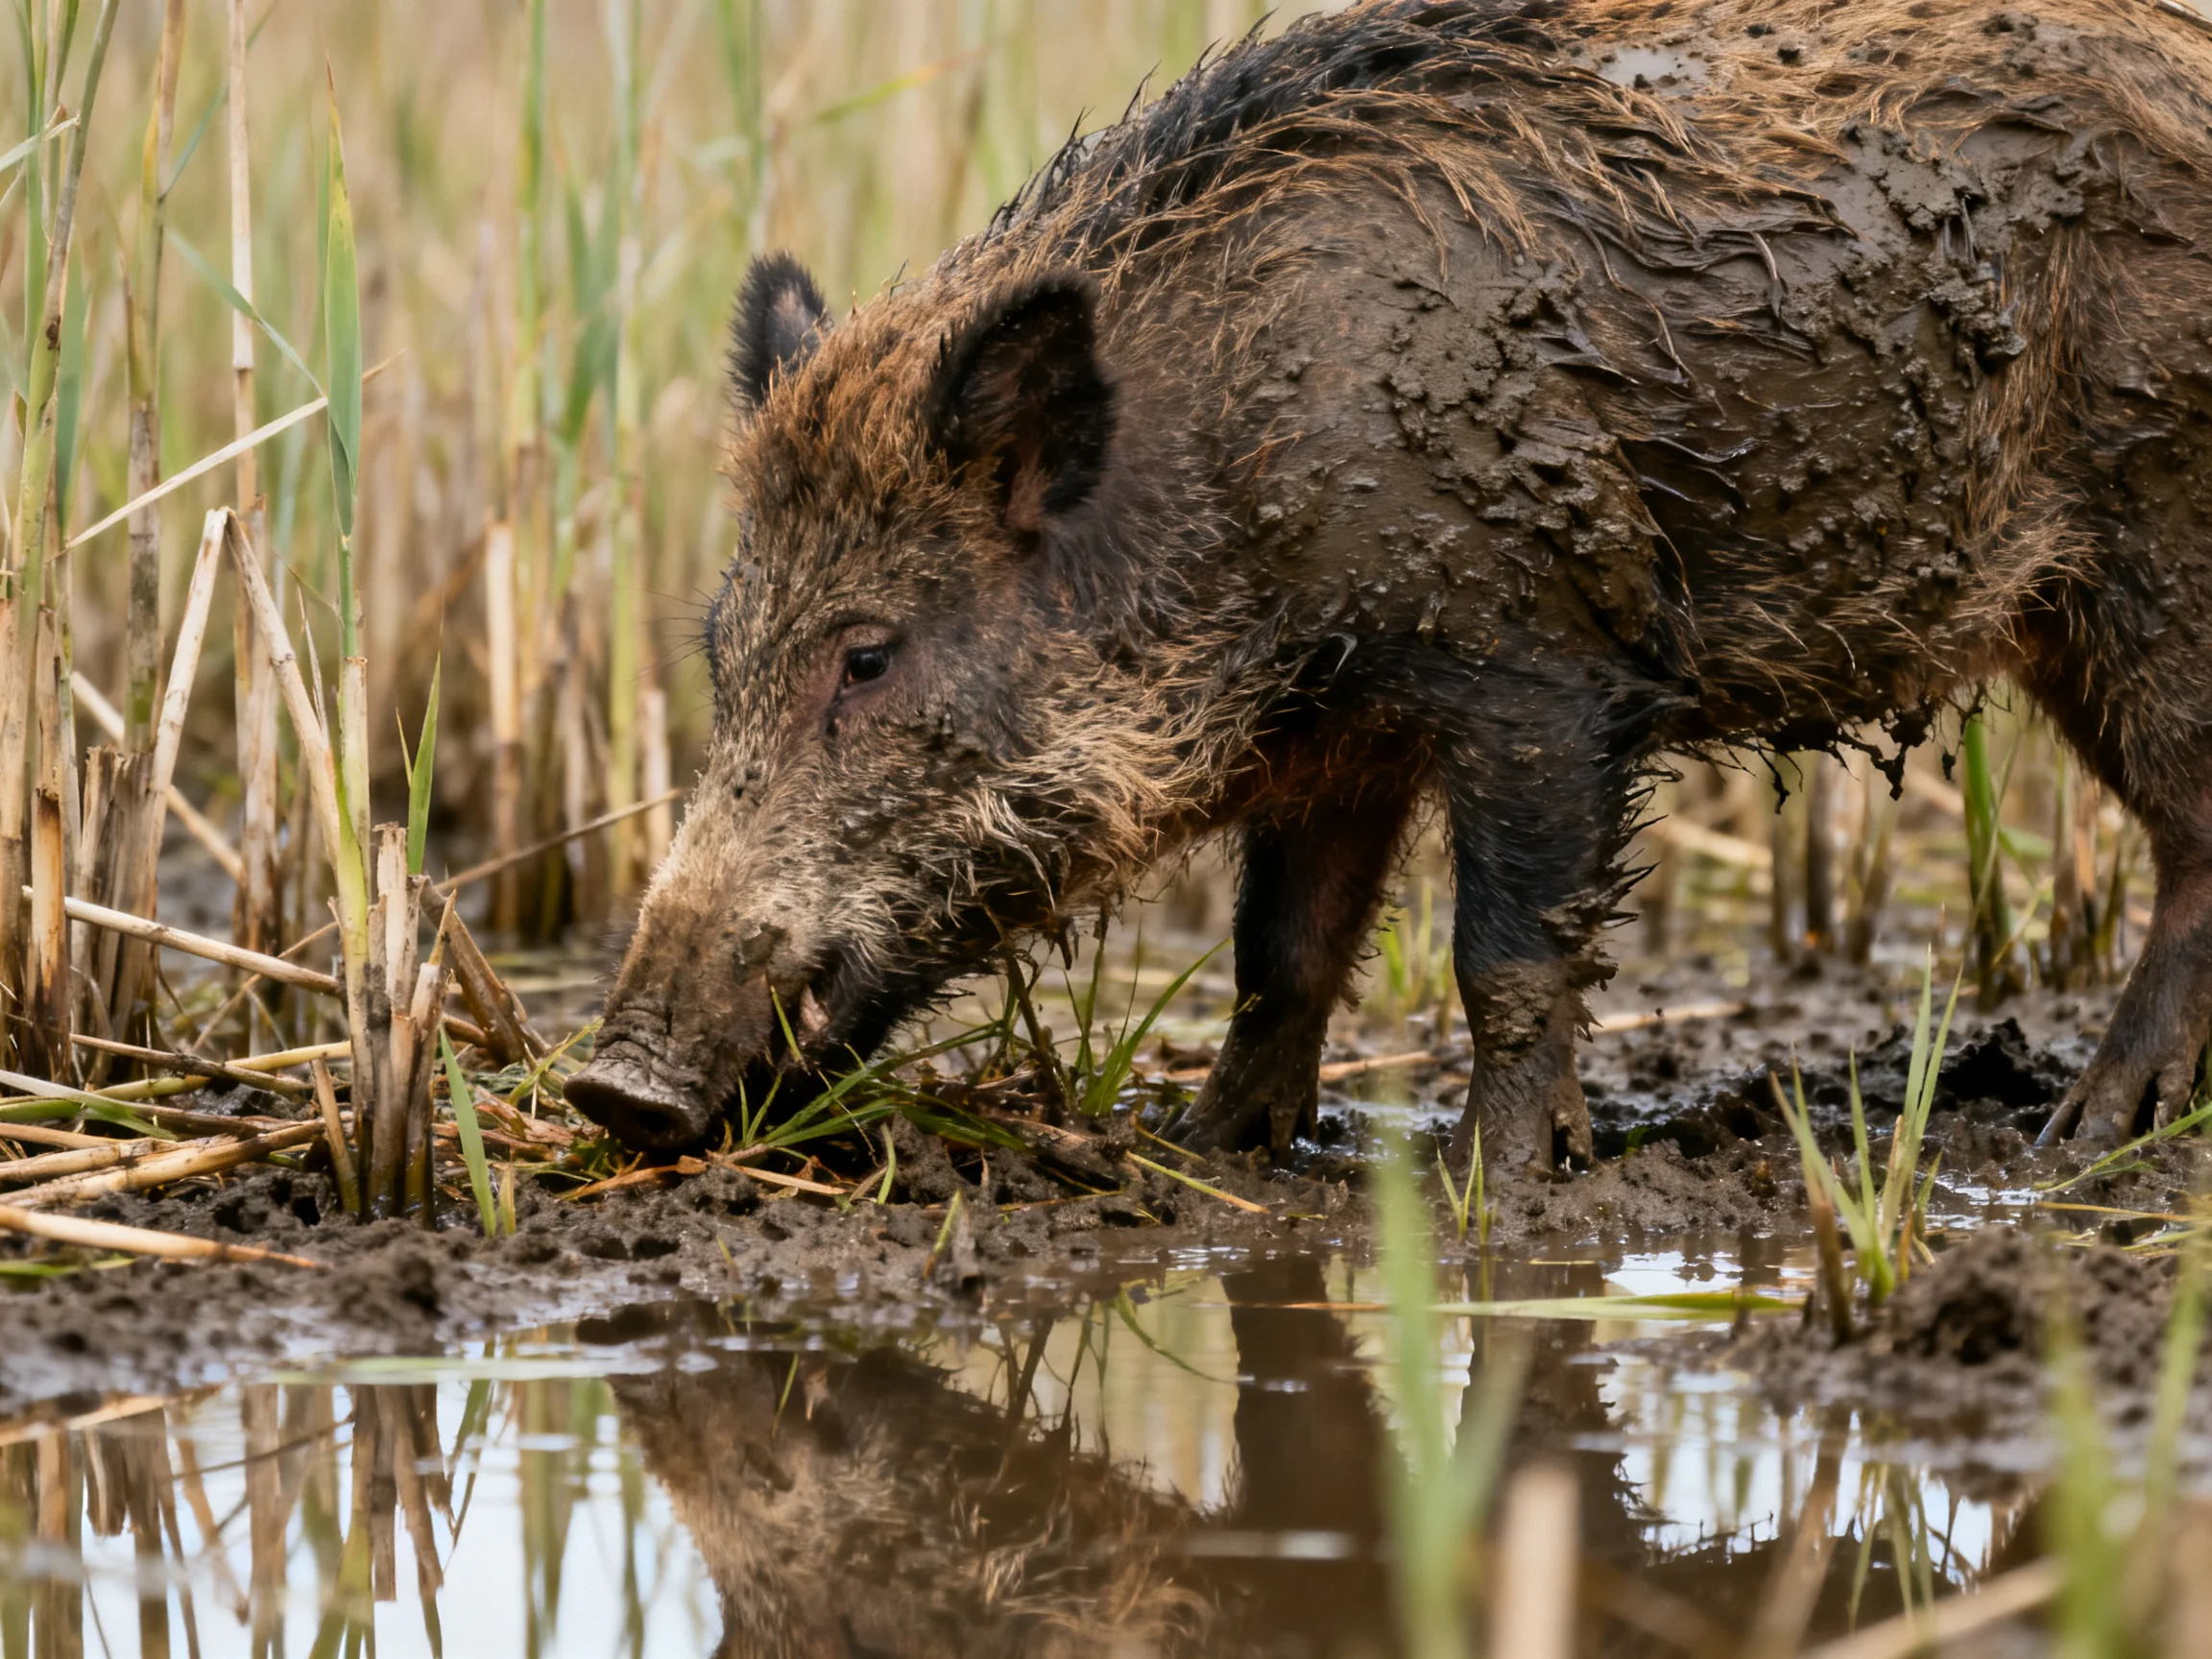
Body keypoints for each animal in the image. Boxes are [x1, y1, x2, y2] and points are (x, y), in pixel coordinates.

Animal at [568, 0, 2212, 1169]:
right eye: (720, 649)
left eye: (869, 656)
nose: (611, 1086)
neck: (1239, 477)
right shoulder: (1334, 738)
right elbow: (1281, 954)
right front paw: (1215, 1149)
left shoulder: (1540, 670)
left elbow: (1510, 955)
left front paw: (1500, 1181)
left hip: (2156, 564)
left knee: (2199, 837)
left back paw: (2088, 1133)